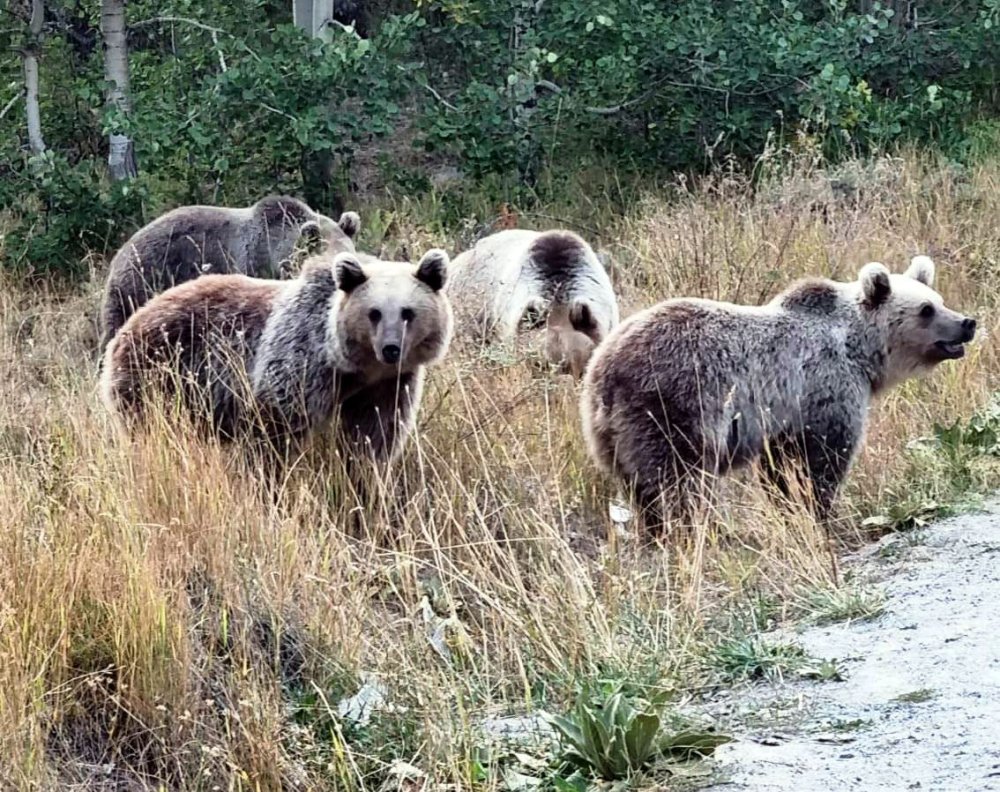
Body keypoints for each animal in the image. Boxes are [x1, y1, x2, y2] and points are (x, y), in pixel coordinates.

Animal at [99, 249, 452, 464]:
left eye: (407, 312)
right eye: (374, 313)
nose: (391, 348)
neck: (352, 368)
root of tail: (123, 331)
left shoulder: (386, 385)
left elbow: (374, 433)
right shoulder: (299, 359)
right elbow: (275, 424)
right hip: (158, 373)